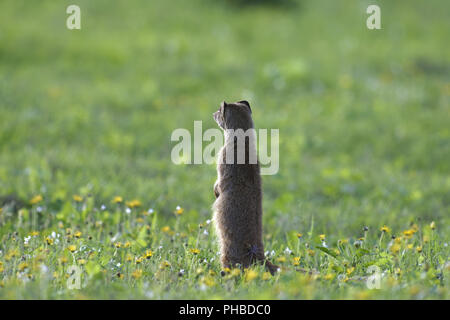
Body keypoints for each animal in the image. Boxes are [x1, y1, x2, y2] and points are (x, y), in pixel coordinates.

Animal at [211, 100, 278, 276]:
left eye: (219, 111)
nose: (212, 114)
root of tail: (259, 253)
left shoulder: (222, 161)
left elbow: (219, 182)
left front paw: (216, 192)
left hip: (227, 251)